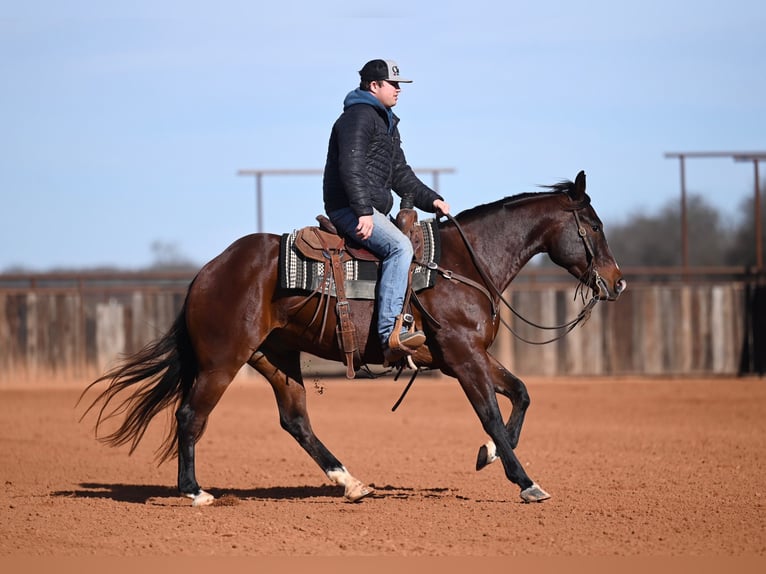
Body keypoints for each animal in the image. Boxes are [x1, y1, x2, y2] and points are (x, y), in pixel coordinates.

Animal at [81, 170, 626, 507]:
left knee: (295, 421)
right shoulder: (463, 357)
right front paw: (526, 482)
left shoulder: (469, 356)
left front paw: (488, 455)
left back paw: (351, 482)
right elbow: (492, 412)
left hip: (275, 357)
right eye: (595, 226)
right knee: (191, 416)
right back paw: (194, 491)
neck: (462, 265)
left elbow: (520, 394)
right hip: (222, 361)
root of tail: (207, 272)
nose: (617, 282)